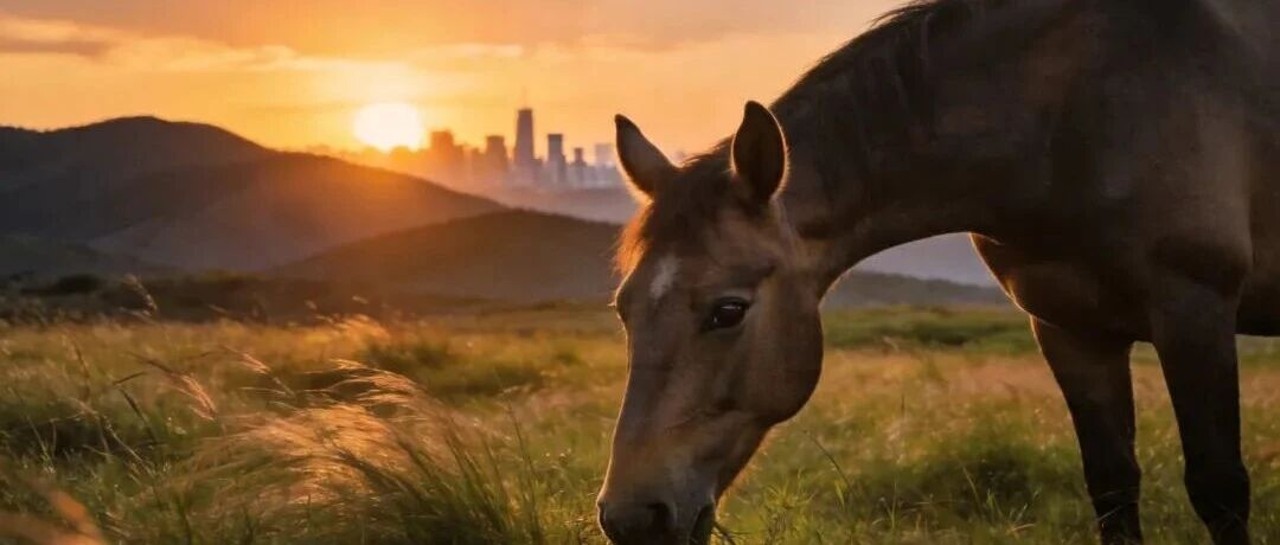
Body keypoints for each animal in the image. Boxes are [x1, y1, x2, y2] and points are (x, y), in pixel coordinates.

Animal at [595, 0, 1280, 543]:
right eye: (624, 309)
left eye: (729, 310)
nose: (630, 517)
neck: (1072, 116)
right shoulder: (1068, 330)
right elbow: (1112, 487)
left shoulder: (1194, 311)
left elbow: (1219, 488)